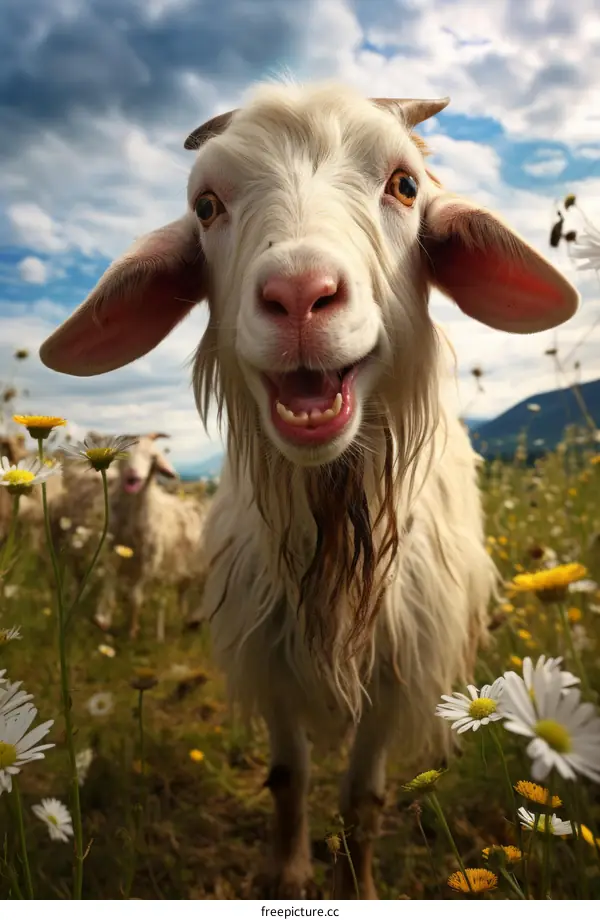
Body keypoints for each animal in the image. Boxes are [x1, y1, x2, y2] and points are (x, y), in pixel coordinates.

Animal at [94, 433, 209, 640]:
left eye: (153, 458)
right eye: (123, 452)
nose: (133, 475)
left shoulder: (150, 561)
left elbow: (135, 596)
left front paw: (132, 631)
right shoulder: (113, 548)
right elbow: (109, 581)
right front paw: (102, 618)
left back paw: (195, 620)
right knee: (183, 592)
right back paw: (186, 622)